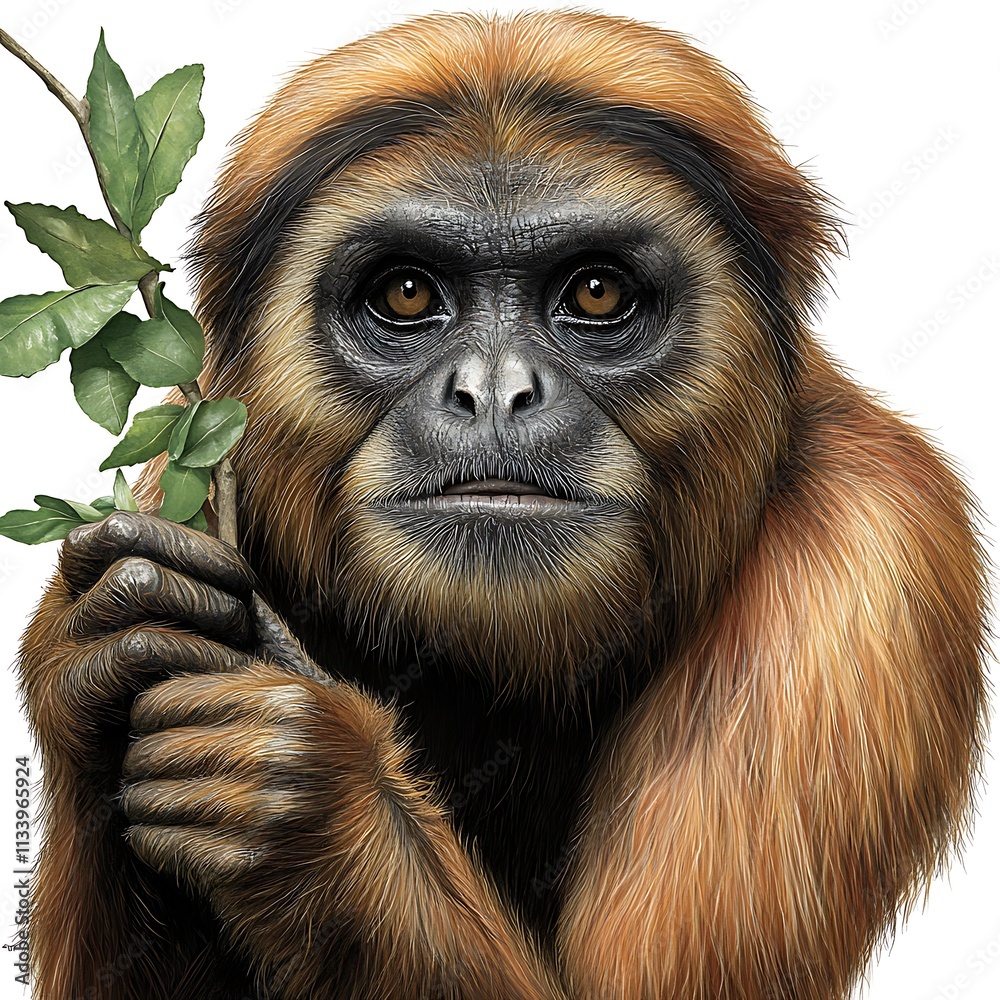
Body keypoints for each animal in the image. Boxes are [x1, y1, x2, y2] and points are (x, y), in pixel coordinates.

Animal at [15, 9, 987, 1000]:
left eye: (596, 291)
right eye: (407, 292)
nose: (494, 391)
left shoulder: (870, 560)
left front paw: (306, 793)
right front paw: (111, 636)